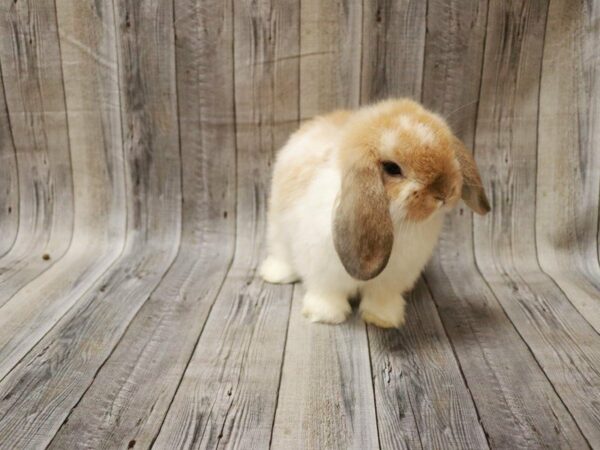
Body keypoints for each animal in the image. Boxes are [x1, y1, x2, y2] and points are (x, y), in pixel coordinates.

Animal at [260, 99, 490, 326]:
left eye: (448, 151)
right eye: (392, 168)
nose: (444, 193)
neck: (396, 222)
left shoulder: (391, 279)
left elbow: (382, 298)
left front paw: (383, 318)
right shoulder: (323, 270)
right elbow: (327, 293)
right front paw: (327, 316)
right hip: (278, 226)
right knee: (280, 250)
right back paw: (276, 274)